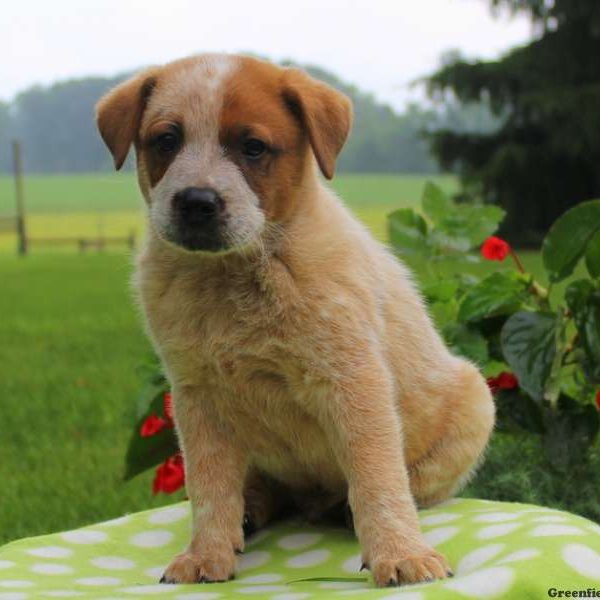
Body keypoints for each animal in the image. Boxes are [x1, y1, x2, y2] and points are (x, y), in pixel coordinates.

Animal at [96, 54, 494, 588]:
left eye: (252, 146)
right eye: (166, 140)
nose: (197, 201)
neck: (234, 276)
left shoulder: (353, 381)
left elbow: (377, 477)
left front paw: (400, 553)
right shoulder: (196, 396)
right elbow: (209, 487)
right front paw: (205, 554)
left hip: (475, 399)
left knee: (408, 484)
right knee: (260, 489)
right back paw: (251, 509)